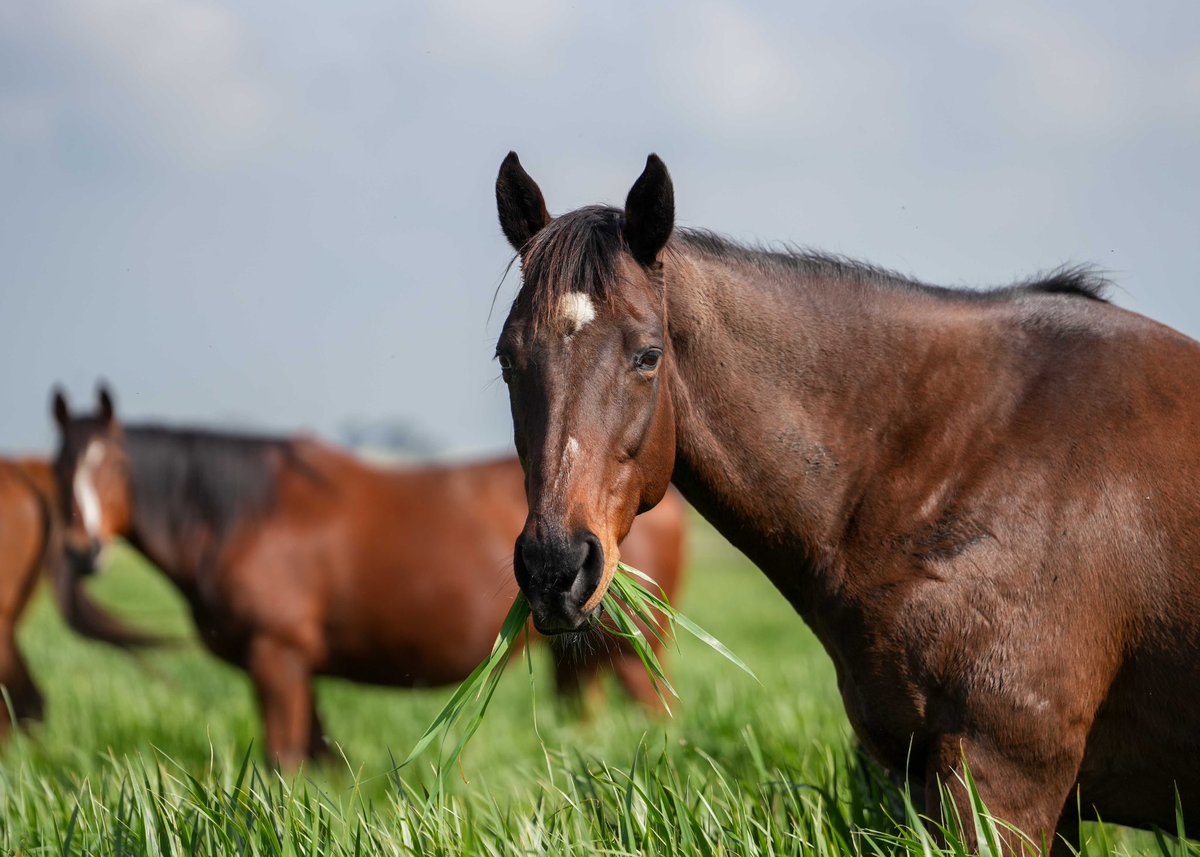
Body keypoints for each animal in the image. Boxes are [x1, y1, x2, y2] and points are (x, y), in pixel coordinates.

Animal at [50, 387, 685, 768]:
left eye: (115, 465)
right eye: (57, 467)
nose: (82, 550)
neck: (246, 517)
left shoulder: (275, 657)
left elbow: (283, 761)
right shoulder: (295, 669)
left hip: (631, 649)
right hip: (579, 654)